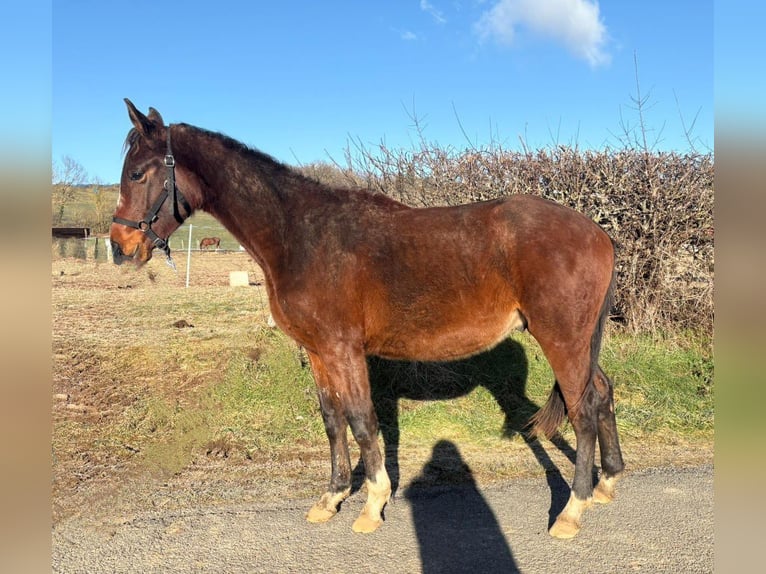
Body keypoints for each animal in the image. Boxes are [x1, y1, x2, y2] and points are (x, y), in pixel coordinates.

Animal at [109, 100, 624, 540]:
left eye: (137, 173)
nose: (119, 247)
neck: (299, 236)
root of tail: (598, 234)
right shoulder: (319, 351)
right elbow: (332, 419)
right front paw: (332, 497)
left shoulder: (343, 349)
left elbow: (361, 419)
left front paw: (373, 505)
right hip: (578, 343)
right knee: (601, 394)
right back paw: (607, 483)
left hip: (562, 340)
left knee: (582, 412)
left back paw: (571, 512)